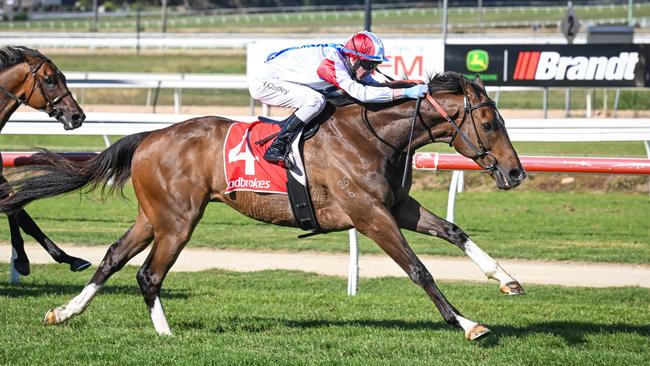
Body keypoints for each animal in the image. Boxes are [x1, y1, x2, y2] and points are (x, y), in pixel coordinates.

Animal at [0, 45, 89, 274]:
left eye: (64, 77)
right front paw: (22, 260)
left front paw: (71, 258)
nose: (77, 116)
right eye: (49, 80)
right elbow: (16, 208)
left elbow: (16, 208)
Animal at [0, 71, 524, 340]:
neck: (373, 136)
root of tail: (149, 135)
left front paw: (507, 280)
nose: (516, 172)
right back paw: (166, 334)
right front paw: (468, 323)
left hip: (153, 216)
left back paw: (64, 312)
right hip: (178, 220)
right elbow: (419, 270)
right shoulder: (370, 216)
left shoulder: (396, 207)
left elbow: (455, 232)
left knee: (111, 258)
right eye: (489, 123)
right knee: (148, 274)